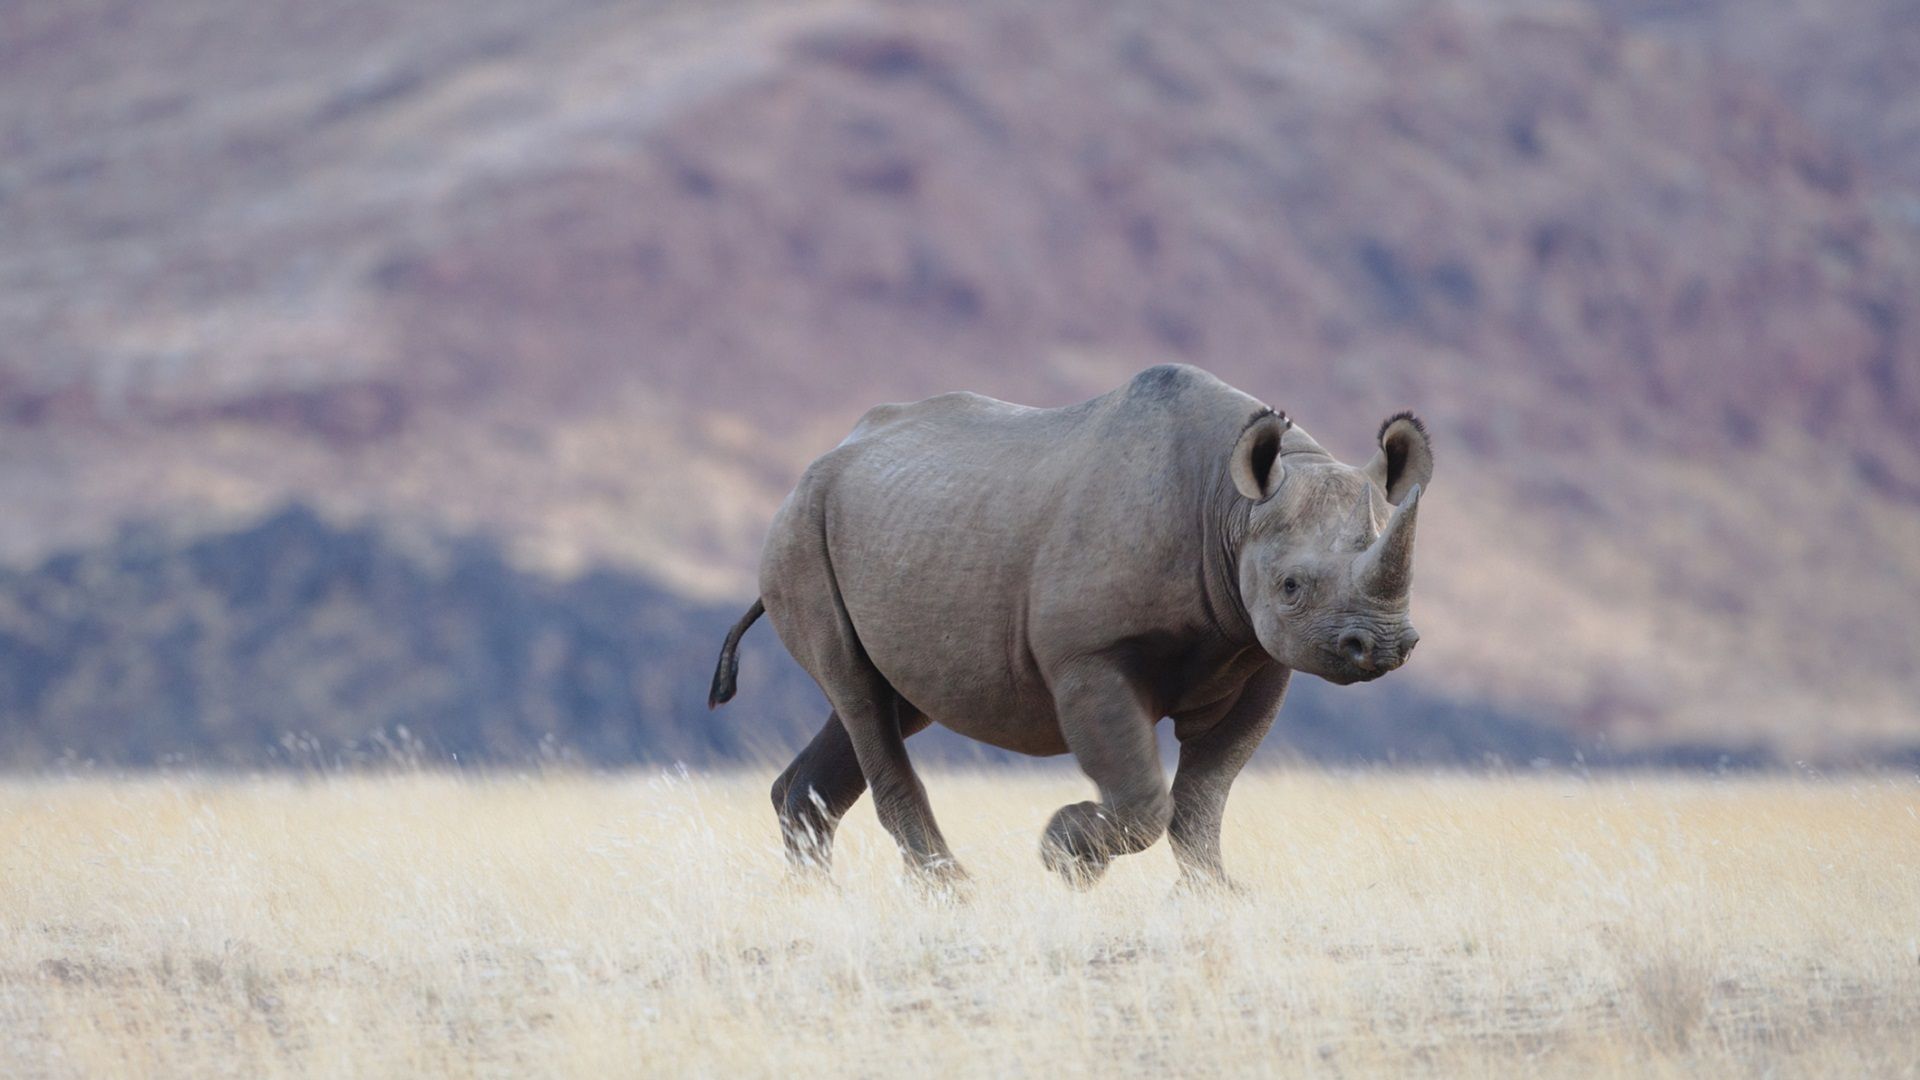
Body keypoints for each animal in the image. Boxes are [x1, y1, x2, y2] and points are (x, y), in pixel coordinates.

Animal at [709, 364, 1433, 889]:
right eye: (1291, 587)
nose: (1384, 645)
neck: (1229, 508)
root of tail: (821, 459)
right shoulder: (1088, 655)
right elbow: (1147, 797)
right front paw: (1066, 854)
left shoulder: (1255, 655)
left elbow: (1205, 794)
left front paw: (1216, 895)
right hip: (800, 532)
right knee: (860, 696)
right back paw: (951, 891)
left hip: (886, 528)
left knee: (887, 701)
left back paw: (815, 896)